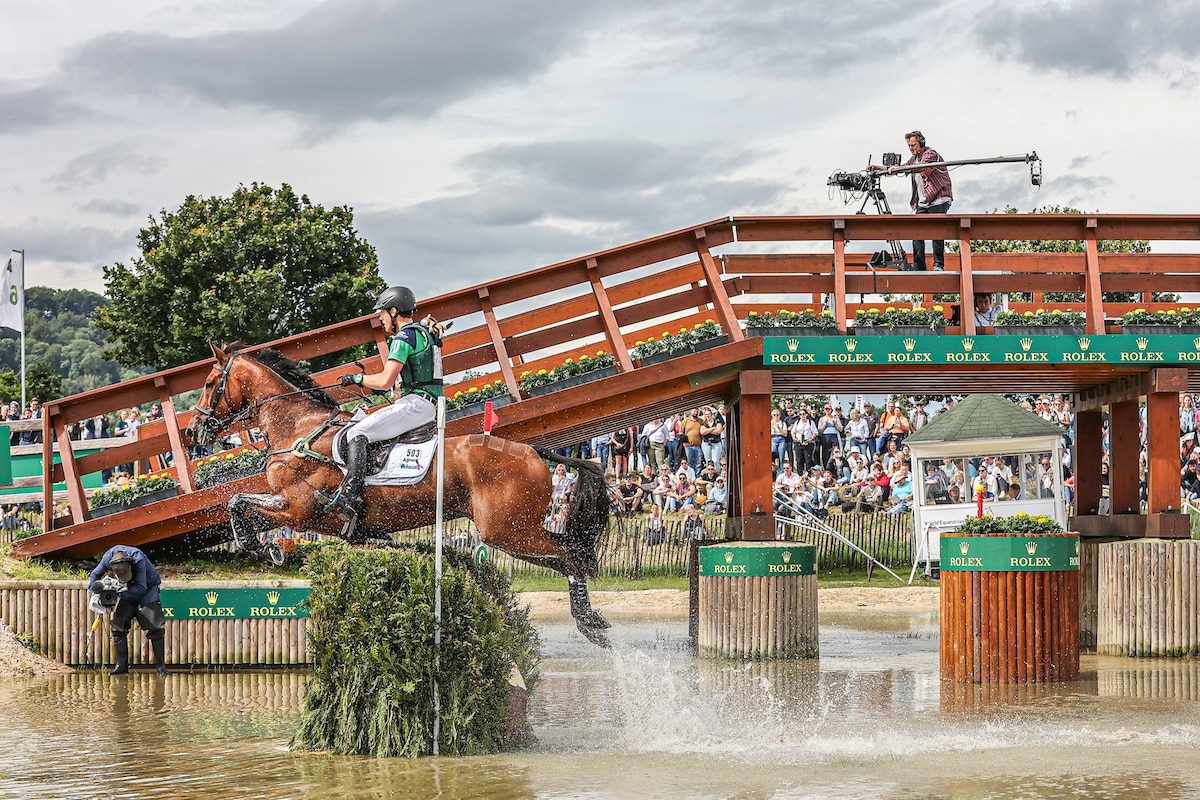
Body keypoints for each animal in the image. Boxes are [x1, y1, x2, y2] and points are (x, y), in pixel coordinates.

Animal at [189, 343, 619, 642]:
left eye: (210, 384)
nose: (193, 433)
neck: (298, 429)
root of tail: (533, 450)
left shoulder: (301, 511)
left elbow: (240, 504)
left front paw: (261, 547)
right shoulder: (292, 508)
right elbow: (239, 503)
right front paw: (267, 547)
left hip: (507, 530)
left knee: (571, 556)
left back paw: (588, 620)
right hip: (512, 533)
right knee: (567, 559)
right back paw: (590, 618)